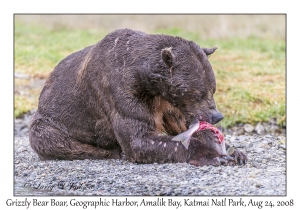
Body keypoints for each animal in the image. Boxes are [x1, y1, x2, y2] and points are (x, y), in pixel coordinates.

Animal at [29, 28, 247, 166]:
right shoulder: (121, 91)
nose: (216, 116)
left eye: (213, 88)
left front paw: (234, 152)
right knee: (53, 140)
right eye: (198, 92)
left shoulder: (165, 101)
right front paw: (212, 155)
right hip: (52, 121)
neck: (148, 82)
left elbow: (182, 124)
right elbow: (139, 138)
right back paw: (111, 152)